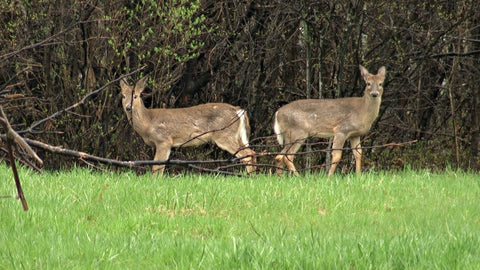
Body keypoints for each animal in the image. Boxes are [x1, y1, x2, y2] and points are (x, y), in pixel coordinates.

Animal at [119, 77, 256, 176]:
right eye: (123, 96)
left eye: (135, 96)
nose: (128, 107)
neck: (148, 123)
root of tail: (239, 110)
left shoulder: (164, 140)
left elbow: (157, 166)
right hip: (236, 136)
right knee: (252, 152)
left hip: (225, 135)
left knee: (247, 154)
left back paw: (249, 177)